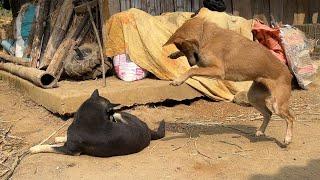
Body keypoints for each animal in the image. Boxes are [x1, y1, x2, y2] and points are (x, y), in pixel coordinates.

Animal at [29, 89, 165, 157]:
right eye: (108, 113)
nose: (111, 117)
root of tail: (147, 128)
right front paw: (59, 138)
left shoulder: (71, 150)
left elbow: (50, 147)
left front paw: (35, 148)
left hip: (119, 115)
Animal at [165, 16, 296, 144]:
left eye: (186, 48)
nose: (191, 63)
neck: (205, 35)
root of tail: (288, 73)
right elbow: (192, 68)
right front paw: (174, 54)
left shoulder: (217, 70)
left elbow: (191, 71)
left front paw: (178, 80)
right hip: (253, 97)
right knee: (268, 113)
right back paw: (260, 131)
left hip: (277, 104)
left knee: (290, 118)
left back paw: (288, 138)